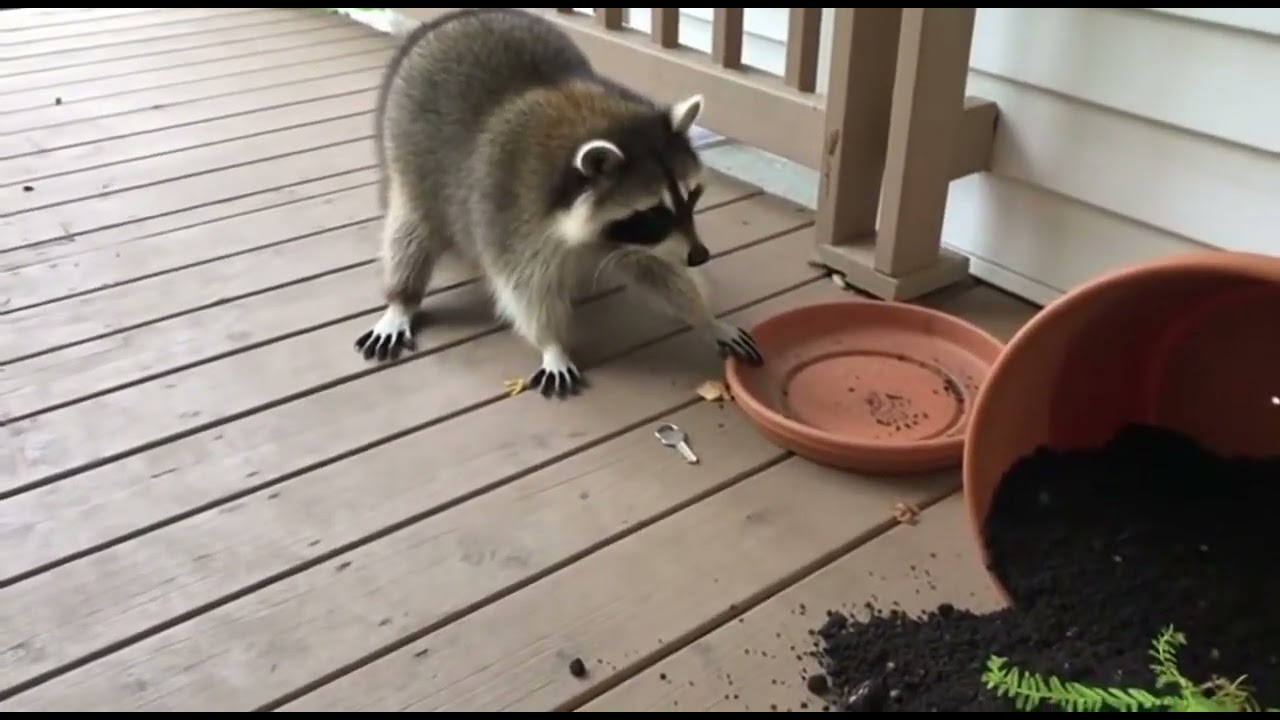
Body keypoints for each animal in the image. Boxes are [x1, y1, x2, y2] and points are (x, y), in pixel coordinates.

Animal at [353, 8, 764, 399]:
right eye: (653, 212)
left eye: (691, 196)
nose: (700, 256)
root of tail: (456, 17)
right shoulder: (509, 211)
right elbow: (525, 289)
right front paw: (551, 344)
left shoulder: (633, 241)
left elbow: (661, 268)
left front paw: (707, 317)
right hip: (410, 159)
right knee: (411, 232)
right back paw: (402, 298)